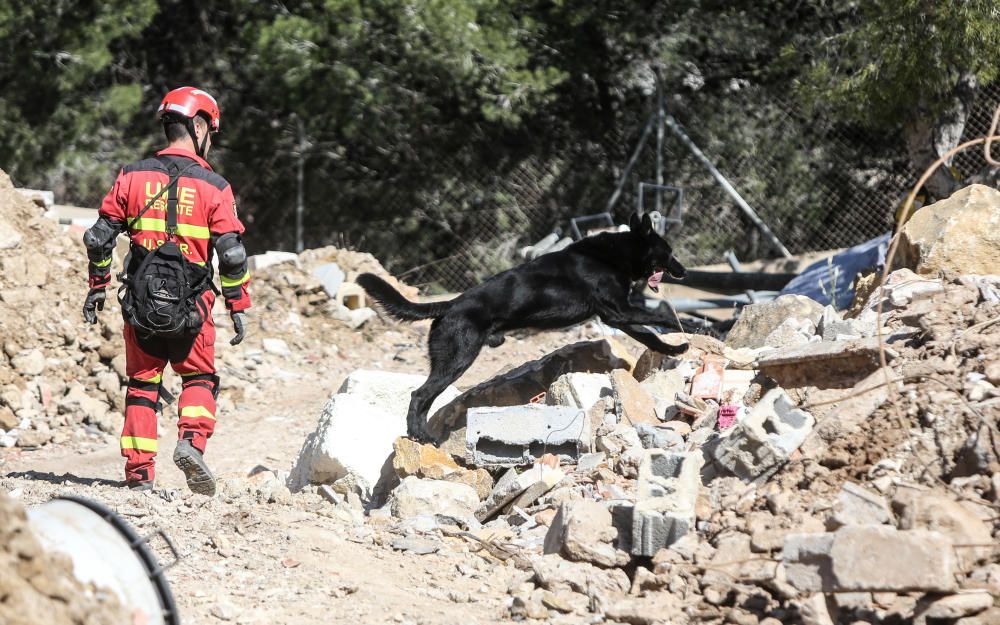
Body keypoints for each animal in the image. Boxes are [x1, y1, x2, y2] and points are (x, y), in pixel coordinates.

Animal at [358, 213, 688, 438]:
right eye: (669, 251)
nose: (684, 272)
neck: (614, 254)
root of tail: (449, 305)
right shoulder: (619, 312)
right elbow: (658, 317)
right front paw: (681, 326)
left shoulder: (618, 316)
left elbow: (650, 337)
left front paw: (675, 348)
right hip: (457, 360)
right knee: (419, 395)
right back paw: (419, 436)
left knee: (425, 399)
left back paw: (422, 435)